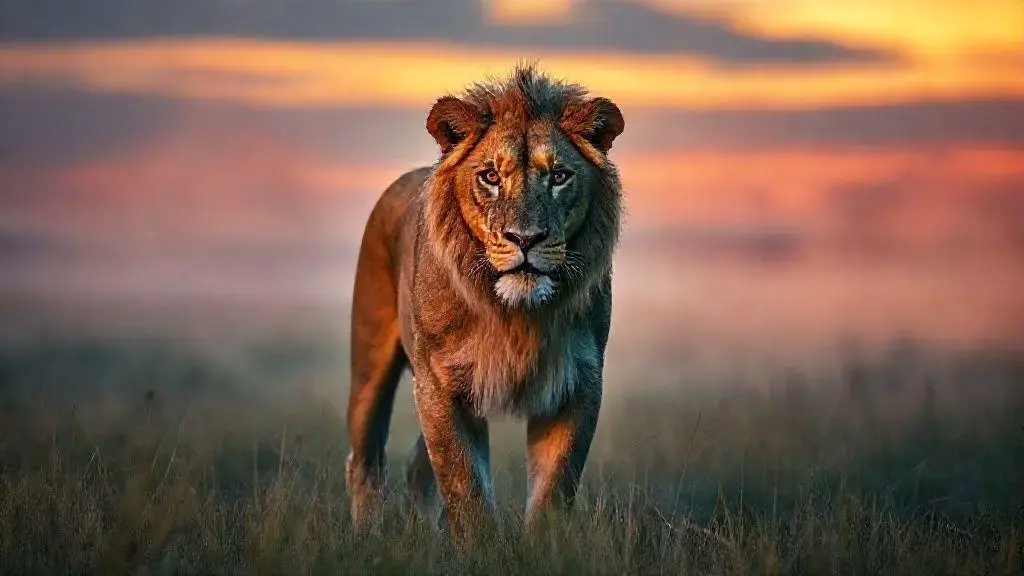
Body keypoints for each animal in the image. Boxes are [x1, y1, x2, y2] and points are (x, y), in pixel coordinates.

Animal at [344, 64, 624, 542]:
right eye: (491, 177)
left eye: (559, 177)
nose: (525, 239)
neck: (516, 313)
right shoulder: (439, 384)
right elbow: (464, 484)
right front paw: (480, 546)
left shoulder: (577, 381)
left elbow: (555, 489)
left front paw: (542, 548)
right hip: (369, 367)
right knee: (364, 460)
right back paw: (366, 537)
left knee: (417, 467)